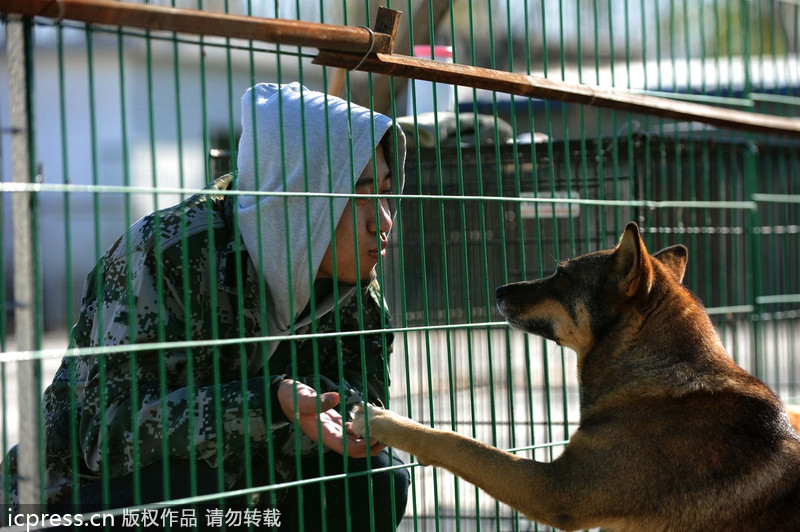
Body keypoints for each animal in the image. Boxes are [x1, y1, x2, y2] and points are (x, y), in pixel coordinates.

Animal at [354, 221, 800, 532]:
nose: (498, 290)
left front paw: (383, 420)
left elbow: (458, 442)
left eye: (562, 275)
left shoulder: (557, 490)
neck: (660, 375)